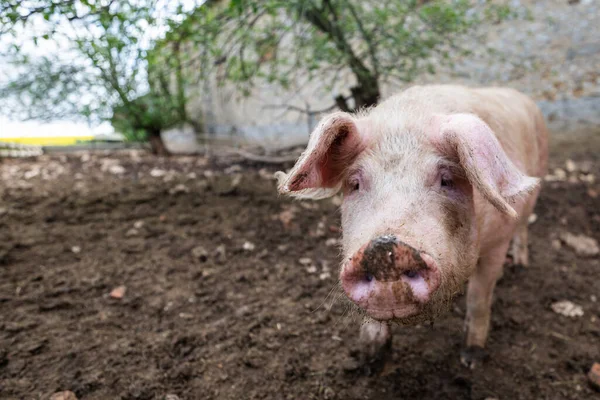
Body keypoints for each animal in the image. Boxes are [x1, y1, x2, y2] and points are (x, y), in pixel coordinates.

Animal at [276, 84, 548, 368]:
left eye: (446, 180)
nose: (383, 247)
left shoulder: (497, 241)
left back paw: (518, 266)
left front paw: (471, 359)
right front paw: (369, 358)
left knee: (523, 227)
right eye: (354, 183)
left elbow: (478, 299)